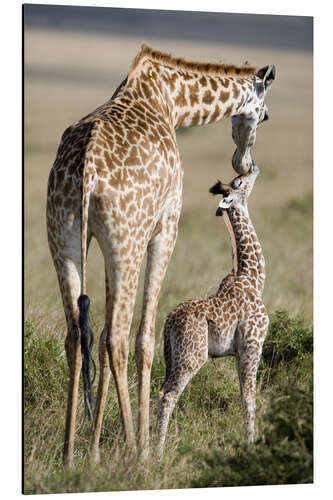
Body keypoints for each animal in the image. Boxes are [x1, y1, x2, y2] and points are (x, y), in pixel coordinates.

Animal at [155, 163, 268, 454]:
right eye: (239, 182)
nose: (254, 166)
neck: (254, 279)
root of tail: (169, 321)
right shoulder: (253, 344)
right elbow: (249, 397)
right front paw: (251, 446)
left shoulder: (239, 352)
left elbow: (243, 395)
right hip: (192, 355)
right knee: (168, 395)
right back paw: (155, 453)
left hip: (171, 355)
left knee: (160, 390)